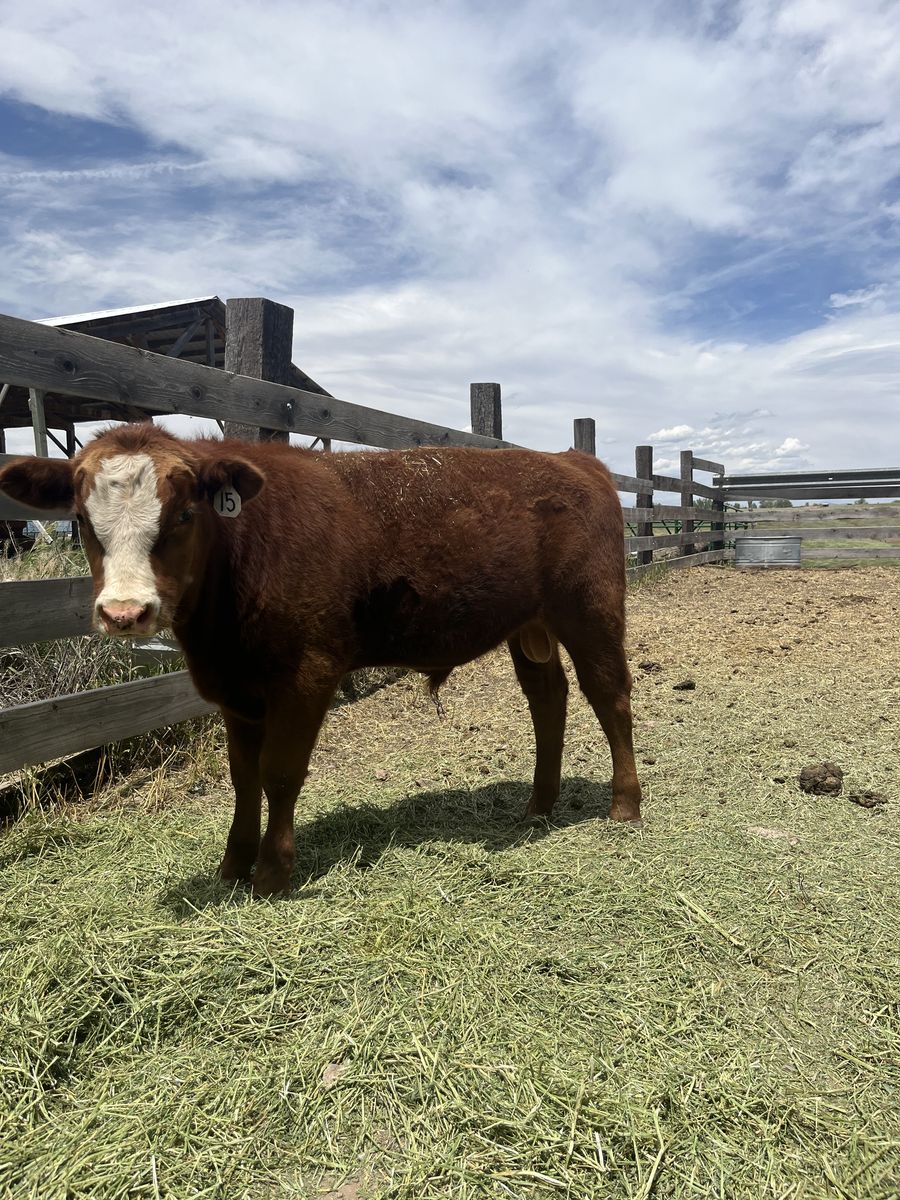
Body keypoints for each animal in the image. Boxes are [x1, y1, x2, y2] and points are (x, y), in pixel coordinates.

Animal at [0, 425, 642, 895]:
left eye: (183, 515)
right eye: (81, 520)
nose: (125, 612)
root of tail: (572, 460)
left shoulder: (307, 674)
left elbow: (280, 773)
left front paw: (272, 872)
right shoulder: (235, 690)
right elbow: (243, 777)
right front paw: (232, 864)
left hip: (590, 608)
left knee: (609, 696)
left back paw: (624, 805)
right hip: (531, 625)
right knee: (548, 698)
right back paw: (539, 805)